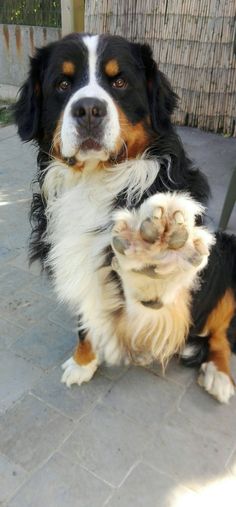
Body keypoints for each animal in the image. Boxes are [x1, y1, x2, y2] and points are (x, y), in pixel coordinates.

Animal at [14, 31, 236, 404]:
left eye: (119, 81)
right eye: (62, 84)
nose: (89, 109)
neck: (95, 182)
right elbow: (85, 318)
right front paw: (83, 362)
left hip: (226, 254)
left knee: (220, 332)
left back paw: (218, 374)